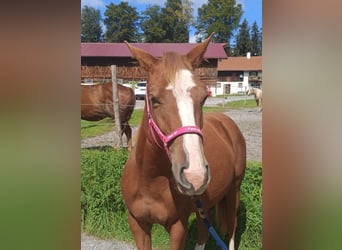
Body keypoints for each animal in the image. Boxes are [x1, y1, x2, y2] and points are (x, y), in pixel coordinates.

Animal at [120, 33, 246, 250]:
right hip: (204, 205)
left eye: (204, 98)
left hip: (233, 191)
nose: (195, 175)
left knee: (231, 227)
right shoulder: (137, 224)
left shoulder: (178, 227)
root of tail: (226, 122)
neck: (150, 181)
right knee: (205, 231)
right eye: (154, 99)